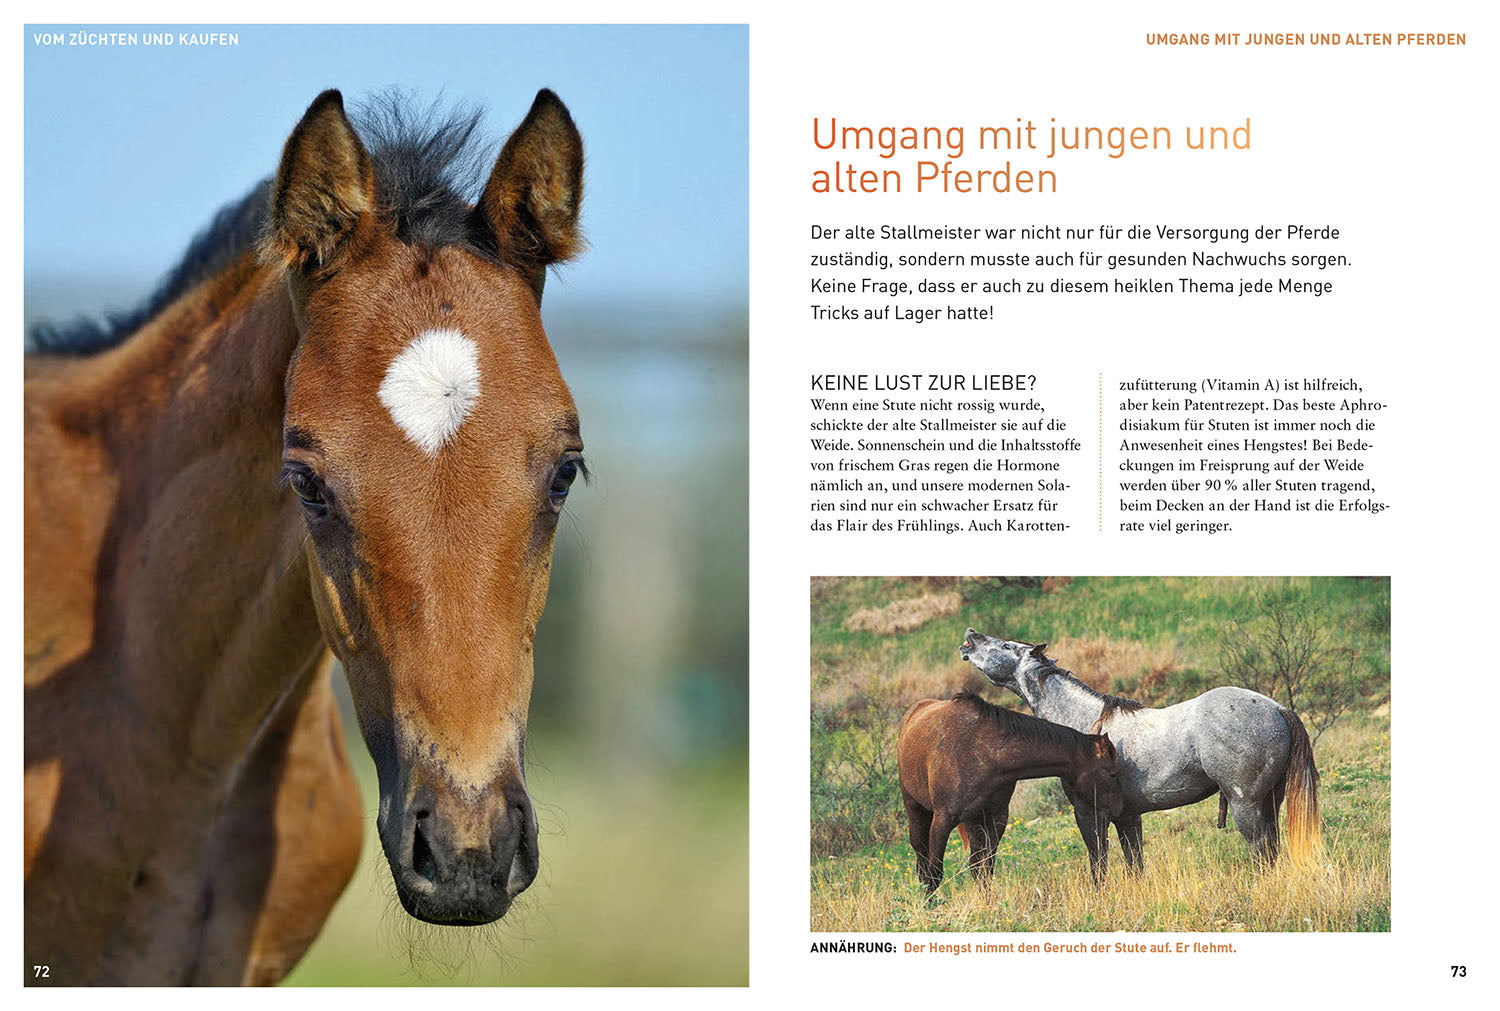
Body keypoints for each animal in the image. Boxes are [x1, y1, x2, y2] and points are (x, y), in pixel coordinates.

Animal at [896, 692, 1124, 893]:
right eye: (1112, 773)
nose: (1119, 809)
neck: (983, 751)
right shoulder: (942, 820)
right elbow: (934, 872)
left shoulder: (996, 818)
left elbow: (985, 869)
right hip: (916, 809)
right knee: (921, 859)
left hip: (973, 821)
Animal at [959, 630, 1321, 870]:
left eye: (1006, 646)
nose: (970, 636)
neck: (1086, 727)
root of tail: (1276, 708)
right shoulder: (1128, 818)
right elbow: (1135, 865)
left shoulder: (1089, 814)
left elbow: (1099, 864)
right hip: (1269, 801)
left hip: (1245, 804)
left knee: (1261, 851)